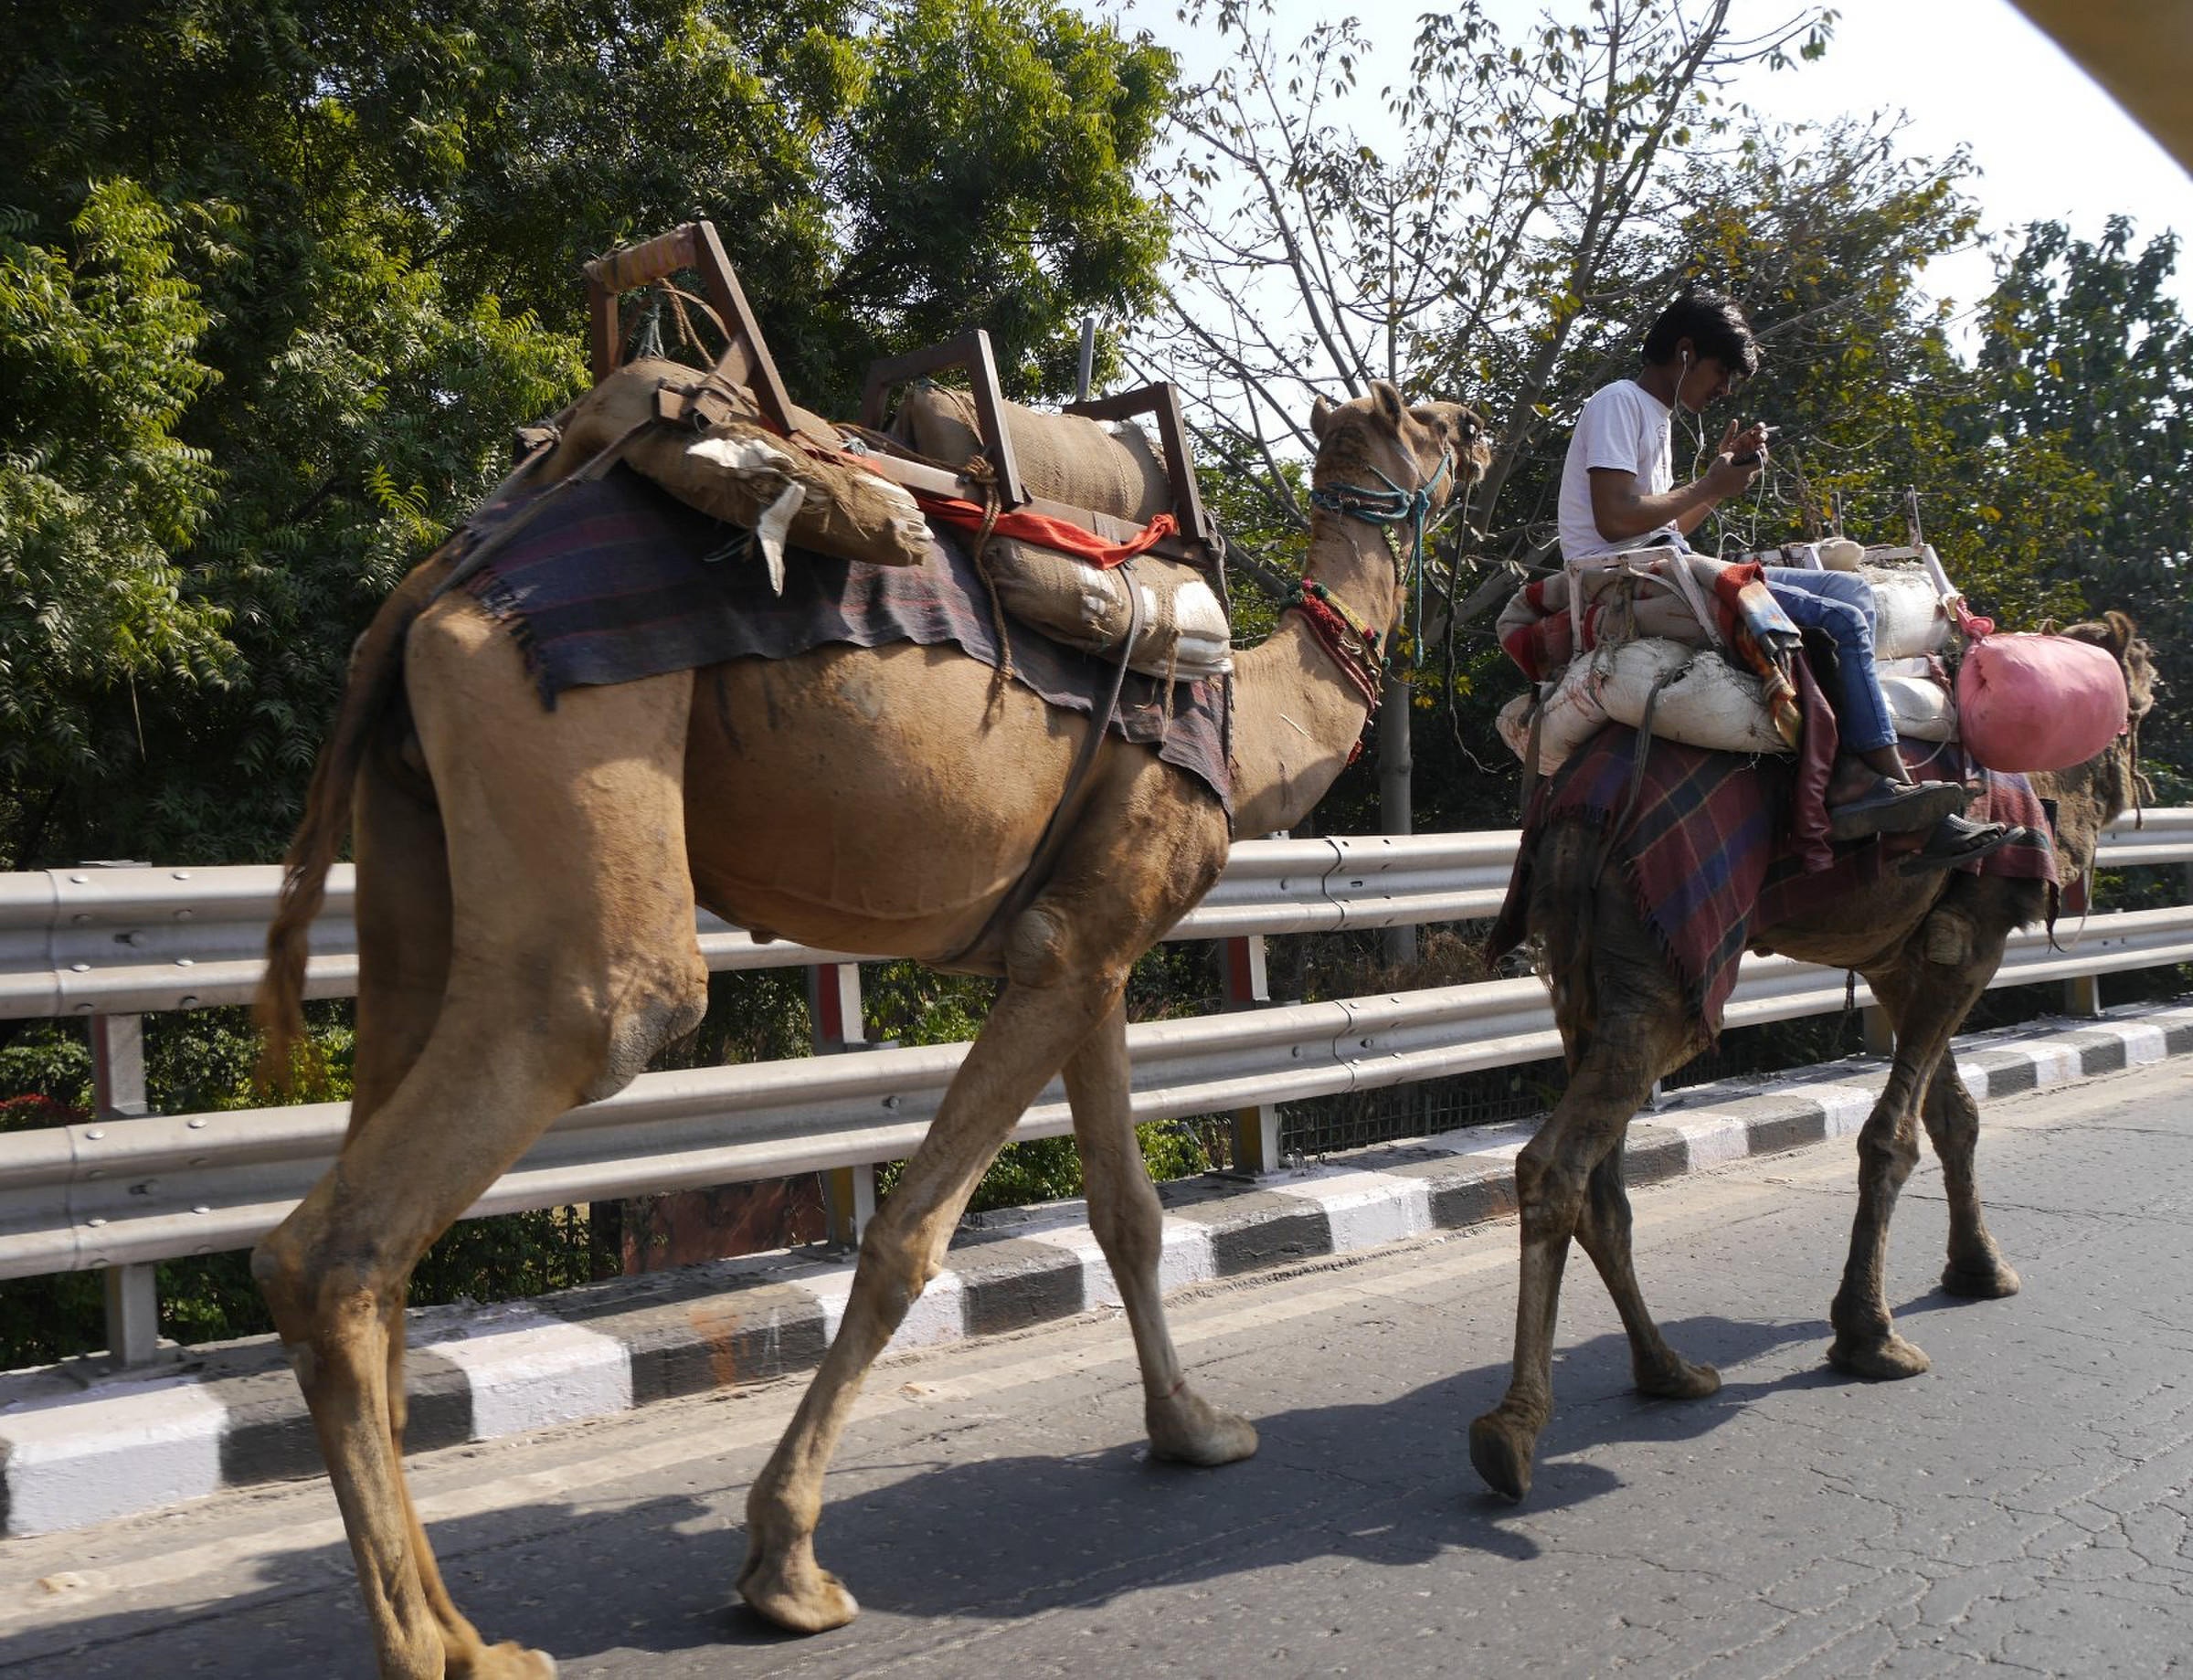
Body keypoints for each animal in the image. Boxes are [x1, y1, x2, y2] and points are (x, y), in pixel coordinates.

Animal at [252, 386, 1491, 1680]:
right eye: (1434, 419)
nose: (1487, 431)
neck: (1254, 732)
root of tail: (447, 581)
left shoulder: (1093, 945)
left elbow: (1129, 1213)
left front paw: (1195, 1430)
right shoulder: (1077, 944)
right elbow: (908, 1238)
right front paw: (786, 1566)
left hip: (411, 845)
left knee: (385, 1161)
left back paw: (455, 1631)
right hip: (568, 741)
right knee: (532, 1076)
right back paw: (443, 1650)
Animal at [1465, 614, 2149, 1508]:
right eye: (2150, 680)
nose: (2141, 752)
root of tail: (1577, 802)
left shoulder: (1897, 954)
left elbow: (1953, 1113)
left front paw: (1979, 1269)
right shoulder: (1975, 933)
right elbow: (1895, 1136)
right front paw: (1871, 1338)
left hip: (1577, 965)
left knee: (1602, 1183)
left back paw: (1669, 1370)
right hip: (1667, 962)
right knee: (1556, 1163)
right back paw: (1512, 1430)